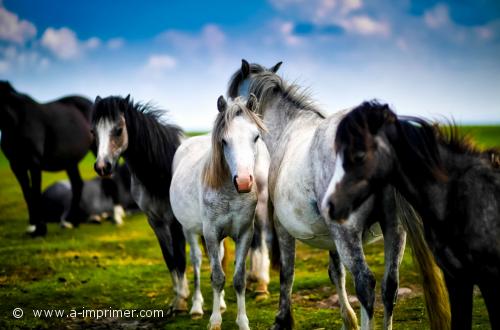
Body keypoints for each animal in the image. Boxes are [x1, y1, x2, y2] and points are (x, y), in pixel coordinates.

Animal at [169, 94, 272, 328]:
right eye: (224, 141)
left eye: (256, 137)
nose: (243, 181)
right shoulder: (211, 234)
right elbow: (217, 277)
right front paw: (215, 321)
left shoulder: (244, 233)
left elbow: (238, 278)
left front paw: (242, 322)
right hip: (190, 231)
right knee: (197, 262)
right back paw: (196, 307)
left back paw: (222, 304)